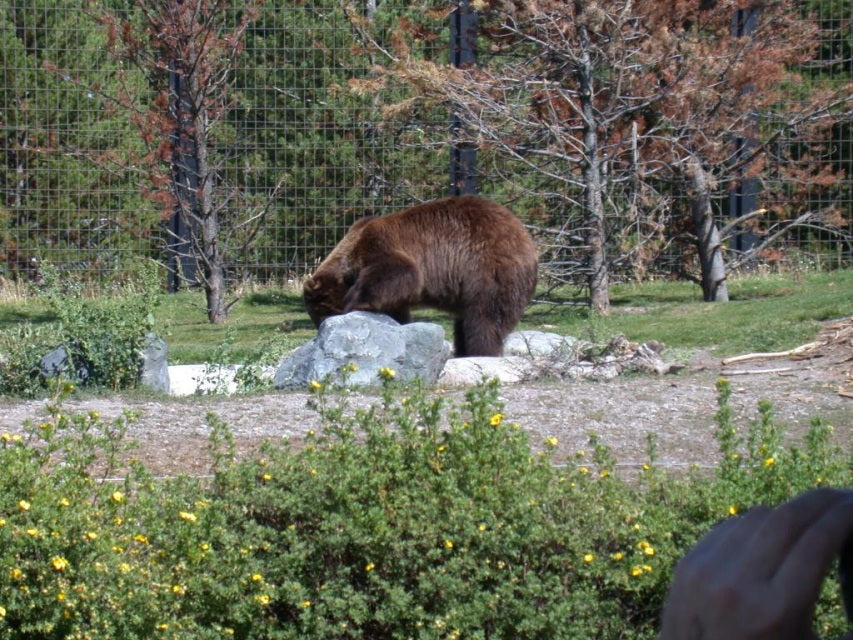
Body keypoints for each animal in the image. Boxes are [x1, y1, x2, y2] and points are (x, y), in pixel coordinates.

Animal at [303, 195, 538, 357]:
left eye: (320, 313)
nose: (321, 328)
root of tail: (524, 235)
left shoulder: (381, 246)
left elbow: (398, 273)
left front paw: (355, 303)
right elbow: (395, 306)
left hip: (485, 269)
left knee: (484, 316)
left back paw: (479, 351)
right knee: (466, 319)